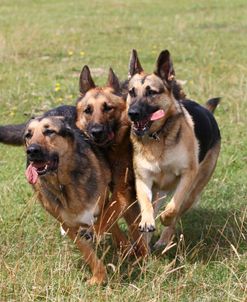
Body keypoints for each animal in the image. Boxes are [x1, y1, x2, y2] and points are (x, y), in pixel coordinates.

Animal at [126, 49, 221, 248]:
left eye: (151, 92)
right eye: (132, 92)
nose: (132, 114)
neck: (157, 137)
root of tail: (207, 112)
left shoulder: (187, 175)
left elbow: (173, 207)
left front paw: (165, 219)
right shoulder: (143, 179)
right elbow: (146, 204)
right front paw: (146, 222)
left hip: (194, 190)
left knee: (178, 212)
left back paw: (163, 239)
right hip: (159, 191)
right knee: (154, 205)